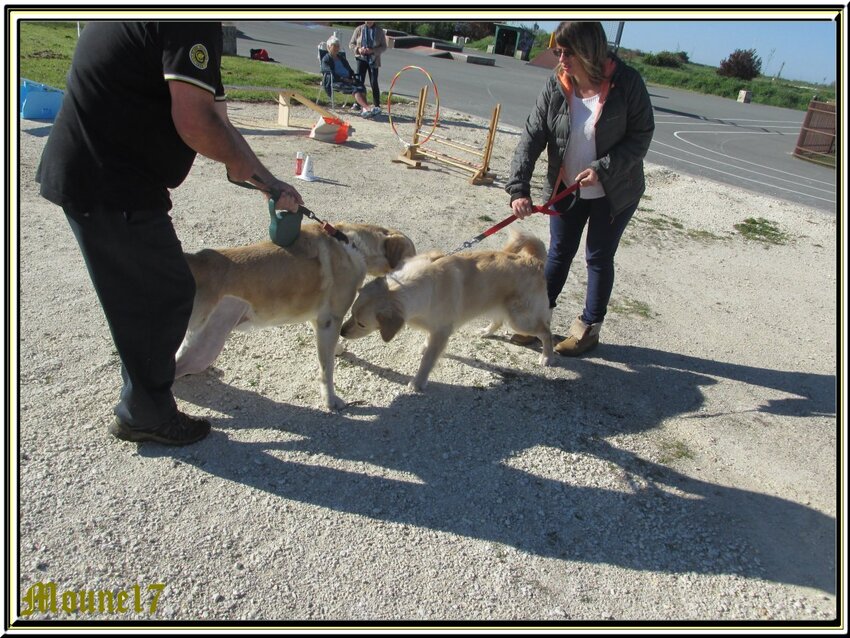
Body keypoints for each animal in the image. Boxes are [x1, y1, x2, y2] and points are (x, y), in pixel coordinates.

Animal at [177, 222, 416, 408]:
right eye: (411, 256)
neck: (352, 244)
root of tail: (197, 261)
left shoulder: (318, 318)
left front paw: (337, 349)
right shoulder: (330, 321)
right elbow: (327, 369)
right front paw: (330, 400)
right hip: (205, 345)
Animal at [342, 230, 552, 390]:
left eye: (361, 323)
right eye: (350, 313)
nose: (342, 332)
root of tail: (532, 259)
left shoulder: (442, 331)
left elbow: (428, 360)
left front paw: (418, 382)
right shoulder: (435, 327)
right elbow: (428, 343)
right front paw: (424, 347)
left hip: (521, 320)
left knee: (545, 331)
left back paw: (547, 357)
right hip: (498, 306)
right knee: (499, 321)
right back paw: (486, 332)